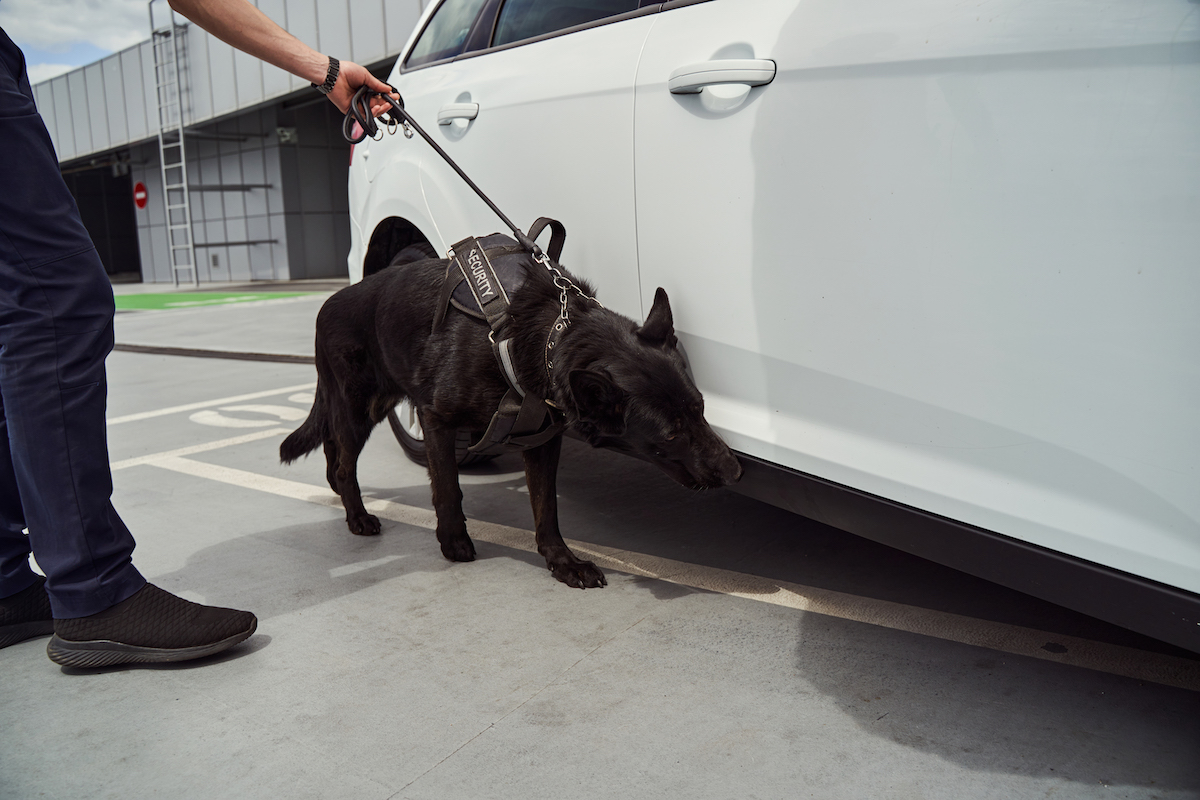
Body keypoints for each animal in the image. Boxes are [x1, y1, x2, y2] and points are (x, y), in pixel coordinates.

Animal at [282, 245, 744, 587]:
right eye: (670, 434)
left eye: (701, 408)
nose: (736, 472)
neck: (546, 337)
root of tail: (329, 302)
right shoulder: (436, 421)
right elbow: (448, 489)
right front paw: (453, 541)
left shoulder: (541, 442)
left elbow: (546, 507)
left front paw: (562, 562)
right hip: (360, 407)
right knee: (345, 463)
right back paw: (357, 516)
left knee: (333, 447)